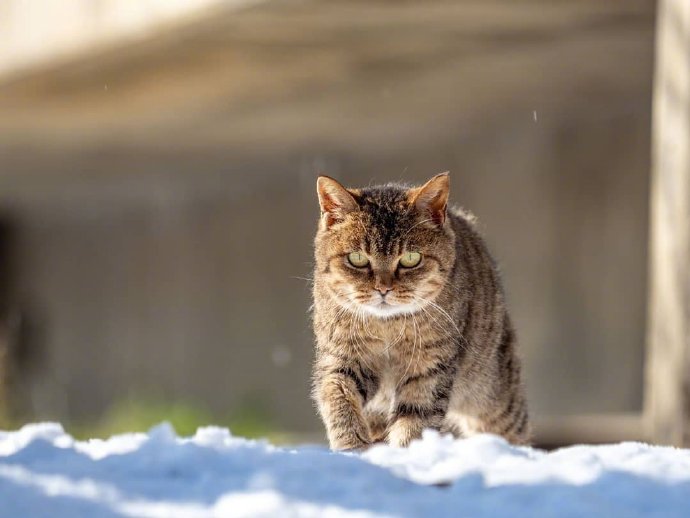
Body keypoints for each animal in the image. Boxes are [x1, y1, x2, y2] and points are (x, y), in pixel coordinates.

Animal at [310, 175, 528, 450]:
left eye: (411, 258)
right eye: (357, 259)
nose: (383, 289)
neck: (388, 326)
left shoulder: (429, 368)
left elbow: (415, 420)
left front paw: (406, 453)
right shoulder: (343, 357)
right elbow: (339, 398)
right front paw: (352, 446)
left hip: (496, 397)